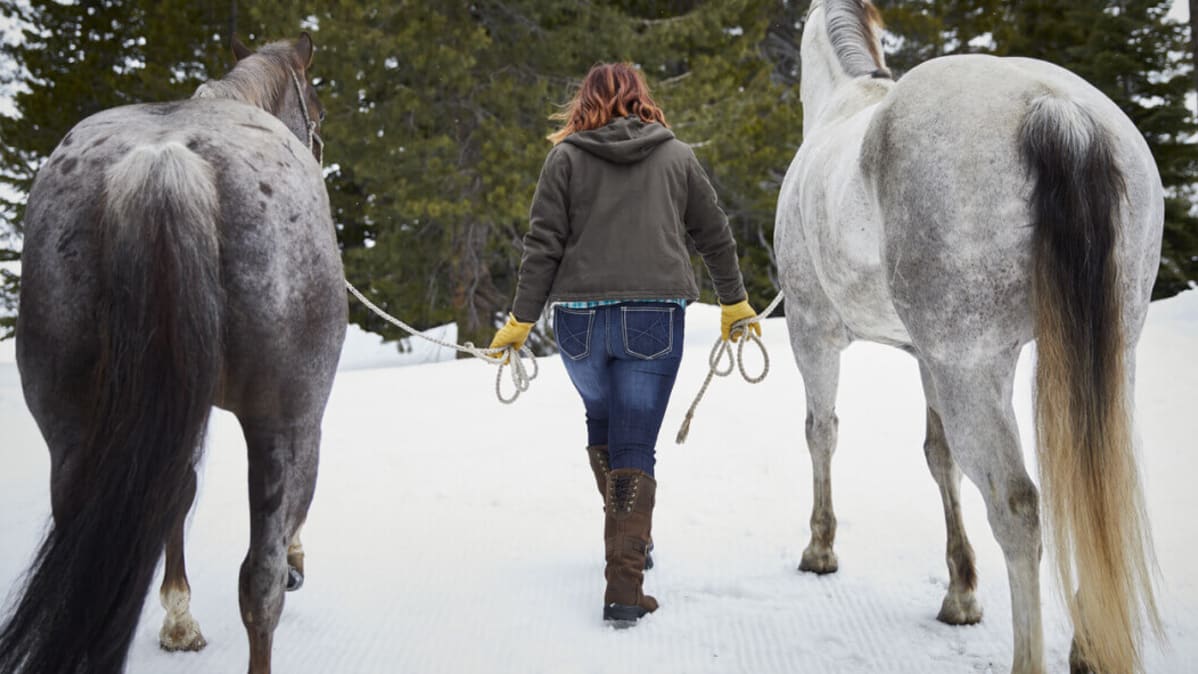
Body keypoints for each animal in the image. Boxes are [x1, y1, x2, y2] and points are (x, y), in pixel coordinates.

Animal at [776, 2, 1159, 670]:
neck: (844, 105)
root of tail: (1056, 109)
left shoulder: (812, 333)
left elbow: (821, 433)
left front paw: (820, 551)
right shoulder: (925, 358)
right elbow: (940, 458)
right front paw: (960, 593)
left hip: (975, 369)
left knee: (1019, 509)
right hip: (1108, 357)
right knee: (1099, 495)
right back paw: (1089, 646)